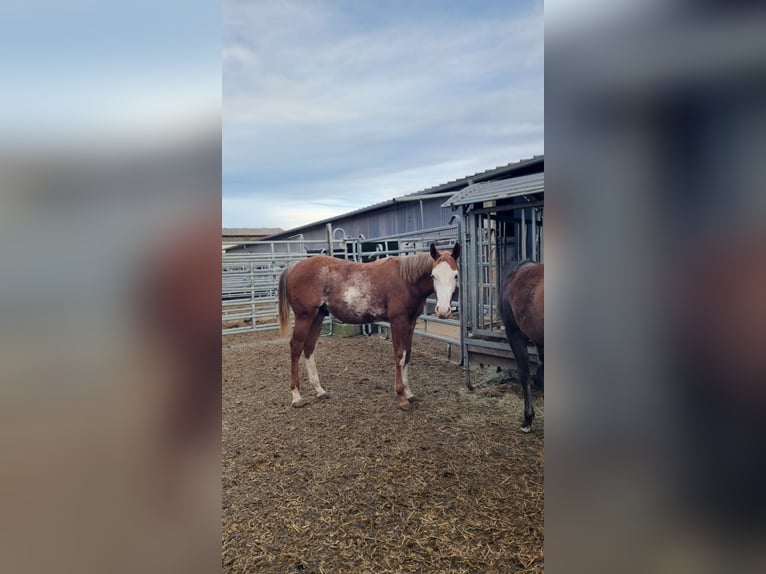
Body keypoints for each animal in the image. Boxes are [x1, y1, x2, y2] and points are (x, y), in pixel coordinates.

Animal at [278, 243, 461, 410]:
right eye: (433, 275)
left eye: (456, 275)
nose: (443, 310)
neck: (406, 280)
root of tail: (293, 267)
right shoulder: (398, 321)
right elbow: (399, 356)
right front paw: (402, 396)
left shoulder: (411, 322)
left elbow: (407, 355)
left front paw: (409, 392)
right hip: (304, 317)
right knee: (296, 347)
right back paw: (296, 396)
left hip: (318, 316)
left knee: (309, 347)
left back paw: (319, 390)